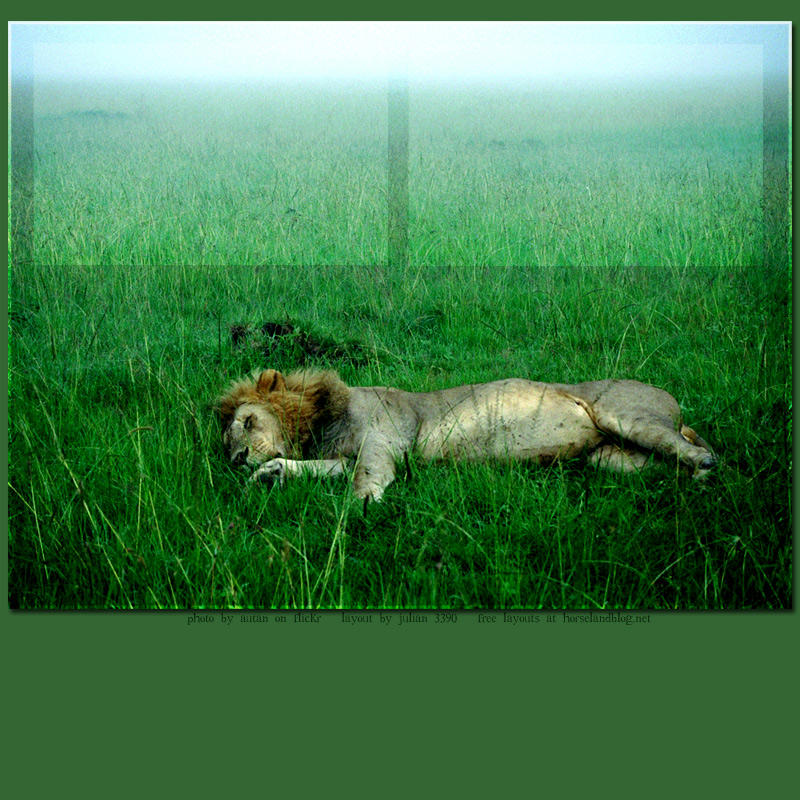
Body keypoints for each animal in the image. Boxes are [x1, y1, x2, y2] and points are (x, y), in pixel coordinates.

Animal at [217, 369, 717, 502]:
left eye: (248, 422)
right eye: (225, 445)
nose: (236, 460)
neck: (322, 417)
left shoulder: (384, 440)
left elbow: (365, 479)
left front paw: (360, 511)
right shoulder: (343, 456)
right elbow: (318, 468)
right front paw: (272, 472)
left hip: (628, 417)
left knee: (698, 452)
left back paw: (705, 475)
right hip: (610, 457)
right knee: (666, 463)